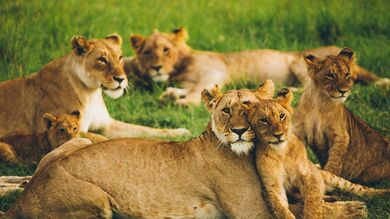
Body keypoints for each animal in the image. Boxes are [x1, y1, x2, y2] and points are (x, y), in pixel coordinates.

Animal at [0, 33, 189, 139]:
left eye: (120, 57)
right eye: (102, 59)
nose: (121, 79)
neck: (91, 93)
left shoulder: (107, 125)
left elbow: (145, 129)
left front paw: (180, 132)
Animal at [4, 81, 368, 218]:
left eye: (249, 107)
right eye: (226, 110)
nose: (239, 131)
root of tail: (21, 201)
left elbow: (308, 201)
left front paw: (347, 202)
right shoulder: (250, 212)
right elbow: (302, 211)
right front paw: (354, 209)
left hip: (78, 141)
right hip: (96, 199)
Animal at [125, 26, 390, 105]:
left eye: (166, 50)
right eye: (147, 52)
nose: (157, 67)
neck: (180, 67)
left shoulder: (215, 72)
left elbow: (197, 92)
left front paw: (182, 102)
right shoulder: (193, 81)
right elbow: (188, 89)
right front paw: (170, 94)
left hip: (298, 63)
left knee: (310, 87)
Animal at [248, 87, 388, 219]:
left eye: (282, 116)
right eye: (263, 120)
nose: (278, 135)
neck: (281, 153)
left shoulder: (309, 175)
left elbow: (312, 203)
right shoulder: (273, 187)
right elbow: (281, 209)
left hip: (332, 178)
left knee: (358, 188)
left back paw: (384, 193)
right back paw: (332, 199)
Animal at [294, 48, 390, 183]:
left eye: (347, 75)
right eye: (330, 75)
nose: (344, 91)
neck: (319, 101)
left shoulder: (341, 136)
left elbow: (333, 164)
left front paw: (328, 179)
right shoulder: (300, 132)